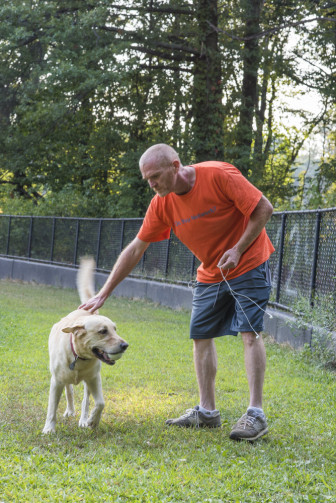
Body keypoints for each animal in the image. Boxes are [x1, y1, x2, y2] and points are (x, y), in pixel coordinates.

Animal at [43, 260, 127, 434]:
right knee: (69, 390)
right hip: (65, 379)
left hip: (89, 382)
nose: (125, 345)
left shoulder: (94, 378)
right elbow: (52, 408)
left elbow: (100, 403)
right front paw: (49, 428)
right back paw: (70, 410)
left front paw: (92, 421)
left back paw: (83, 419)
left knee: (86, 400)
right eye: (103, 331)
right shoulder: (56, 381)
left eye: (115, 329)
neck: (78, 356)